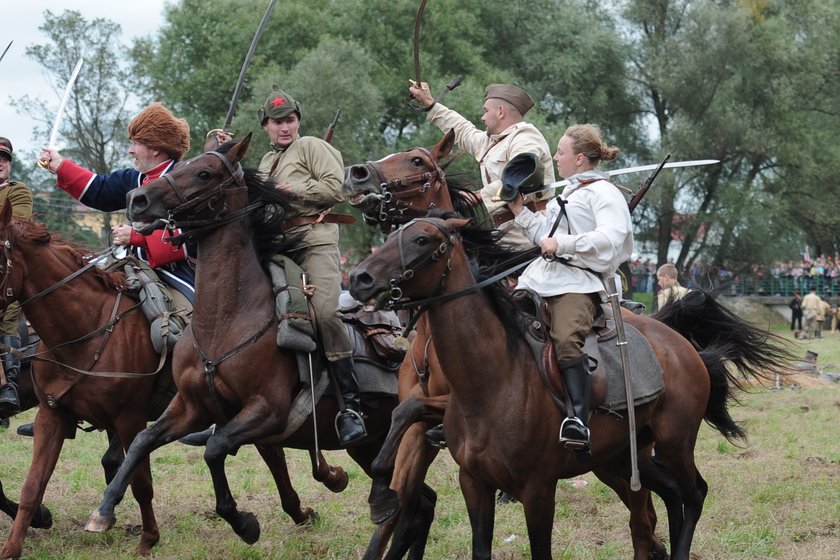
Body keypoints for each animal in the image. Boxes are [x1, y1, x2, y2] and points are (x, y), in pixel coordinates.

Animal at [86, 135, 414, 556]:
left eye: (204, 173)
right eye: (181, 165)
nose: (137, 198)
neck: (225, 320)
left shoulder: (266, 411)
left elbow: (214, 449)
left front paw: (244, 522)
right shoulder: (191, 408)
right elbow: (143, 441)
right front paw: (105, 509)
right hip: (369, 445)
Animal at [342, 132, 668, 560]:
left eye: (416, 161)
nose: (357, 174)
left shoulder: (440, 410)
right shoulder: (417, 430)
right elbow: (398, 498)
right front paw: (384, 505)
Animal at [350, 215, 796, 560]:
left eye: (423, 239)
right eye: (390, 234)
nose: (359, 277)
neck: (490, 382)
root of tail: (682, 346)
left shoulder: (537, 491)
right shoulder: (473, 483)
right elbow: (406, 414)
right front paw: (381, 493)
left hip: (674, 444)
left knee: (694, 494)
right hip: (619, 458)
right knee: (666, 500)